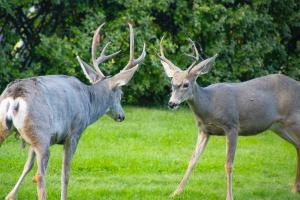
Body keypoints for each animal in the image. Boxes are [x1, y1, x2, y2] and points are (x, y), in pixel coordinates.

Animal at [0, 22, 145, 200]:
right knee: (40, 176)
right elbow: (65, 173)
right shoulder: (74, 133)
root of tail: (14, 97)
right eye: (121, 94)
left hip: (11, 128)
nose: (121, 116)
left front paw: (10, 196)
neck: (88, 103)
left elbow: (27, 165)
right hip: (40, 132)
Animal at [159, 36, 300, 200]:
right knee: (297, 145)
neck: (209, 104)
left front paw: (229, 196)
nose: (172, 103)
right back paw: (294, 188)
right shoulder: (204, 130)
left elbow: (228, 164)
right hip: (278, 126)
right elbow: (192, 160)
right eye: (172, 84)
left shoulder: (232, 125)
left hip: (293, 119)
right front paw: (175, 192)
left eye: (186, 84)